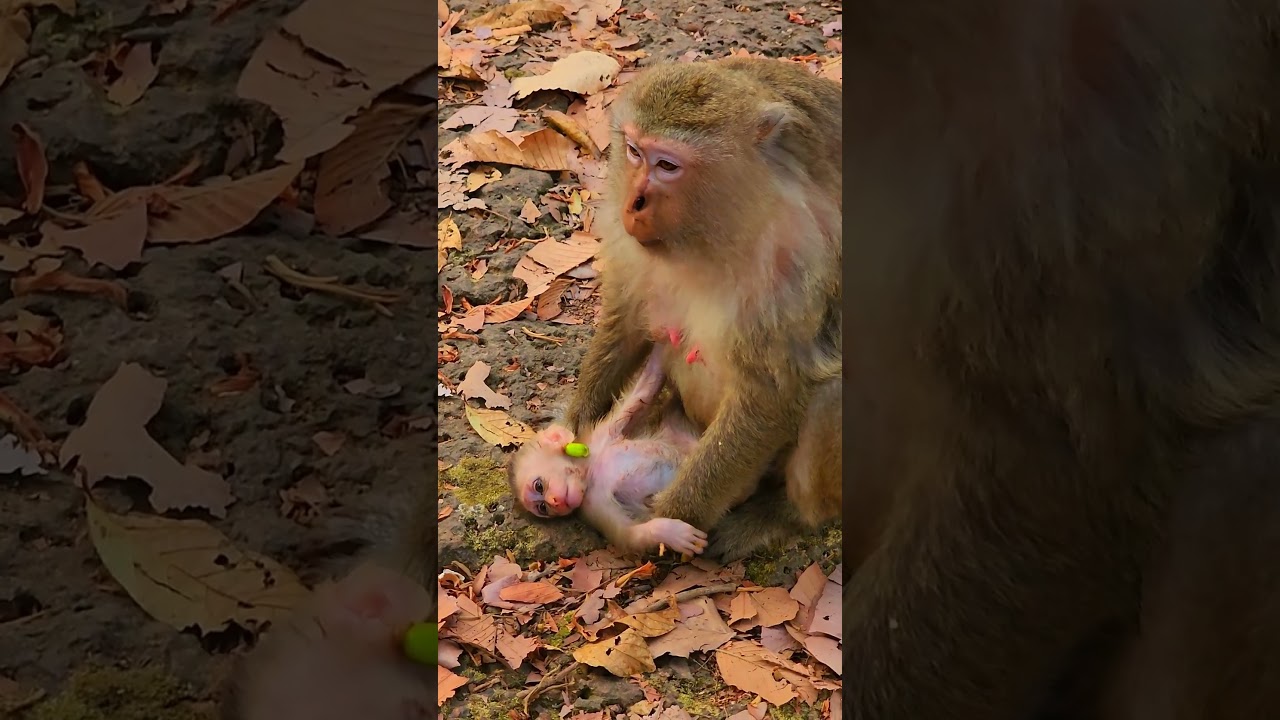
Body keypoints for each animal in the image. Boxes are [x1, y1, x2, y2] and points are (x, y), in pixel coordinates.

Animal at [508, 343, 709, 557]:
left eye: (539, 486)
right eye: (543, 507)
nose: (555, 502)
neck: (591, 470)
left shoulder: (603, 434)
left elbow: (644, 390)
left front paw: (662, 344)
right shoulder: (593, 505)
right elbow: (629, 536)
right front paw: (672, 533)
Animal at [561, 56, 844, 563]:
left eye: (668, 165)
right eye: (633, 151)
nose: (634, 203)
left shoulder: (794, 257)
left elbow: (771, 392)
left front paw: (668, 521)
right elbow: (627, 314)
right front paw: (574, 427)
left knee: (833, 390)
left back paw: (784, 515)